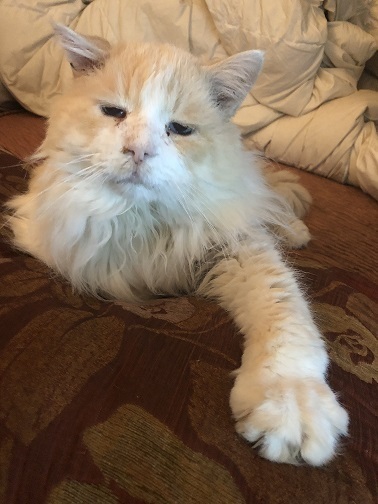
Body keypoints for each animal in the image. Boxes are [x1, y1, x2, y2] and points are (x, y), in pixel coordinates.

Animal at [5, 22, 348, 464]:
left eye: (180, 129)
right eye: (115, 112)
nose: (138, 151)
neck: (138, 220)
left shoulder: (237, 246)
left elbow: (287, 314)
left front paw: (293, 405)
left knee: (267, 202)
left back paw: (295, 230)